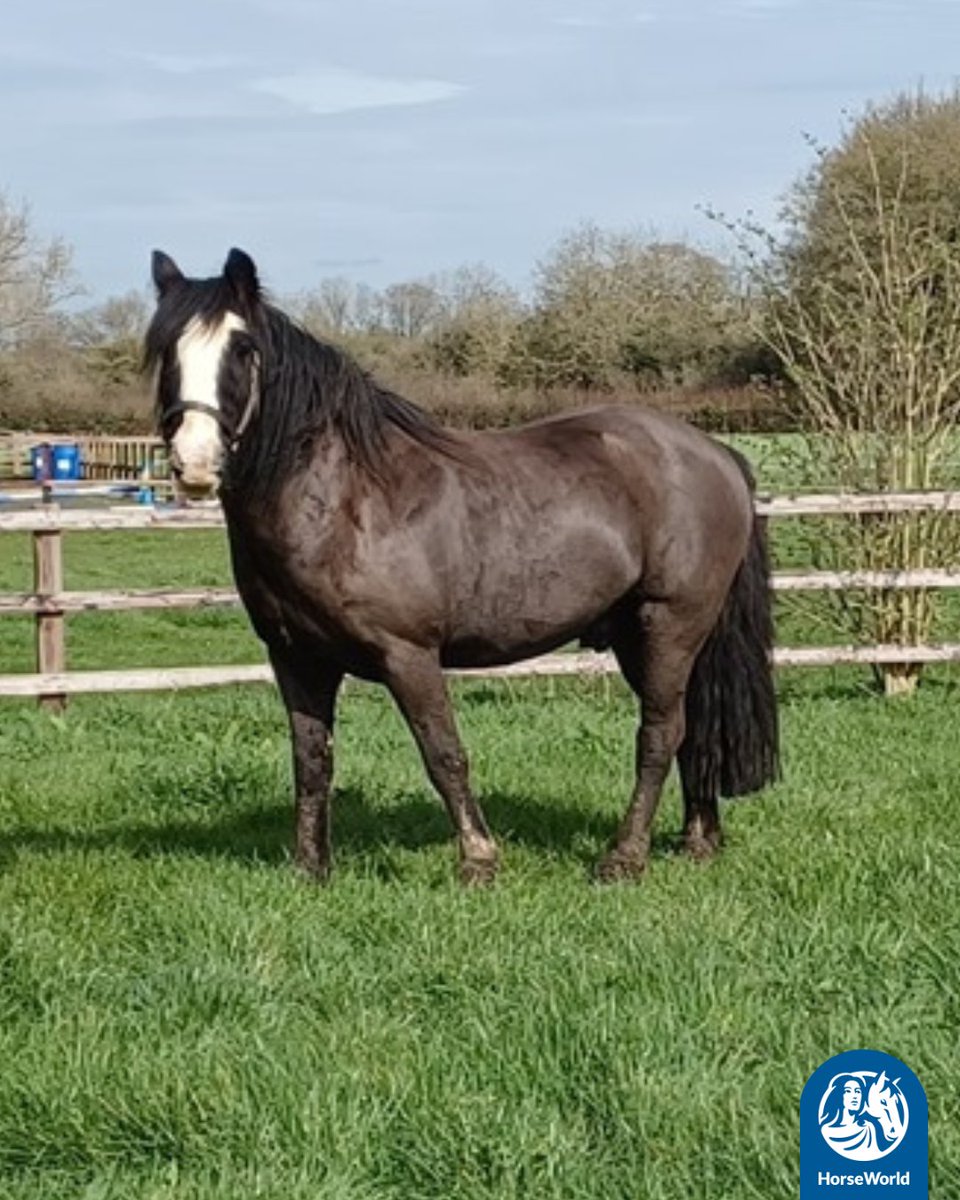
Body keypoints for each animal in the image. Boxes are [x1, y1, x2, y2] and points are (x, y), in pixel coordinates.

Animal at [145, 248, 779, 885]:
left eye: (242, 348)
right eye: (165, 349)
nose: (194, 463)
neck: (345, 502)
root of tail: (715, 453)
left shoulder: (409, 655)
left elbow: (443, 753)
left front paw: (479, 860)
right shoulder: (297, 659)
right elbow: (312, 760)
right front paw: (310, 869)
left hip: (670, 622)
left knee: (660, 733)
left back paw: (624, 857)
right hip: (637, 633)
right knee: (693, 725)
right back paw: (697, 838)